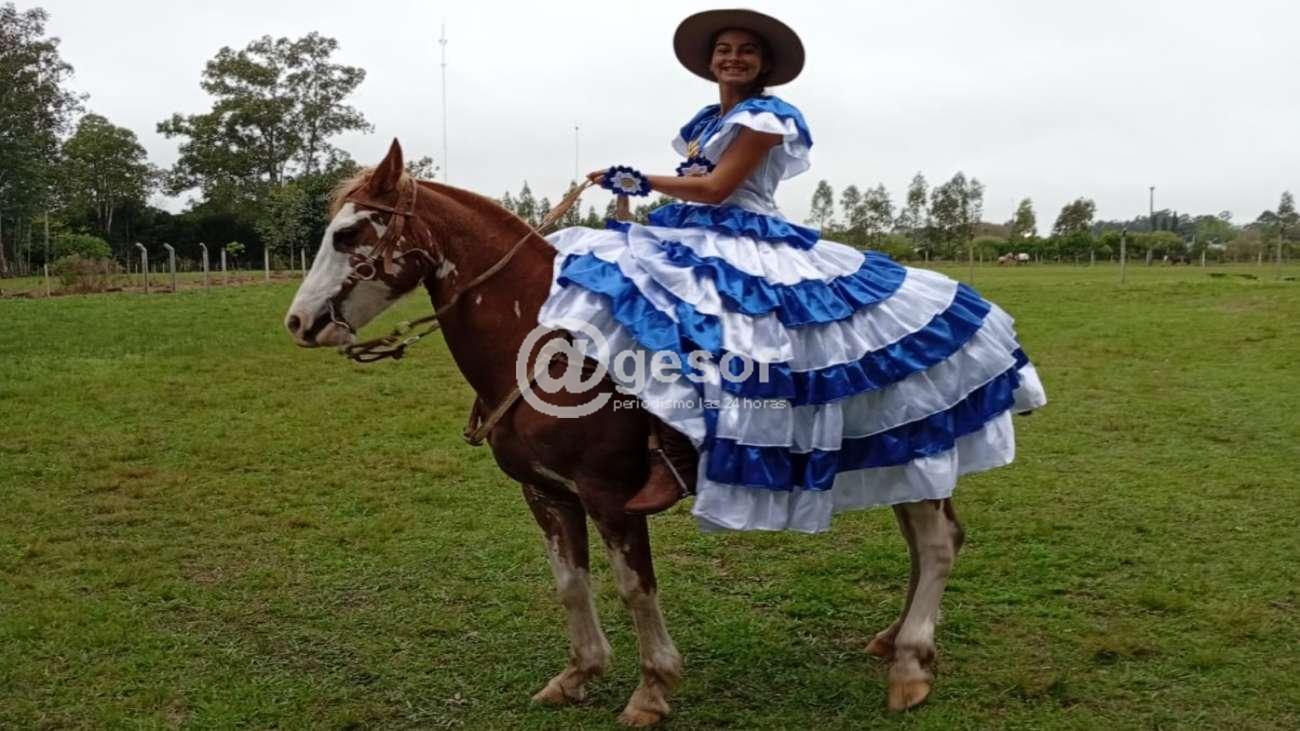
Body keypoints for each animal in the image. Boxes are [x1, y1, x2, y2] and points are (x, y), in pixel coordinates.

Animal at [283, 140, 968, 725]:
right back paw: (894, 642)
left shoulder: (611, 496)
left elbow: (635, 588)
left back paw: (910, 667)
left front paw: (652, 689)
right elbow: (570, 583)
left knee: (936, 544)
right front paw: (579, 674)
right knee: (929, 542)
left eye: (348, 234)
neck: (547, 344)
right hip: (894, 461)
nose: (298, 322)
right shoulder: (547, 493)